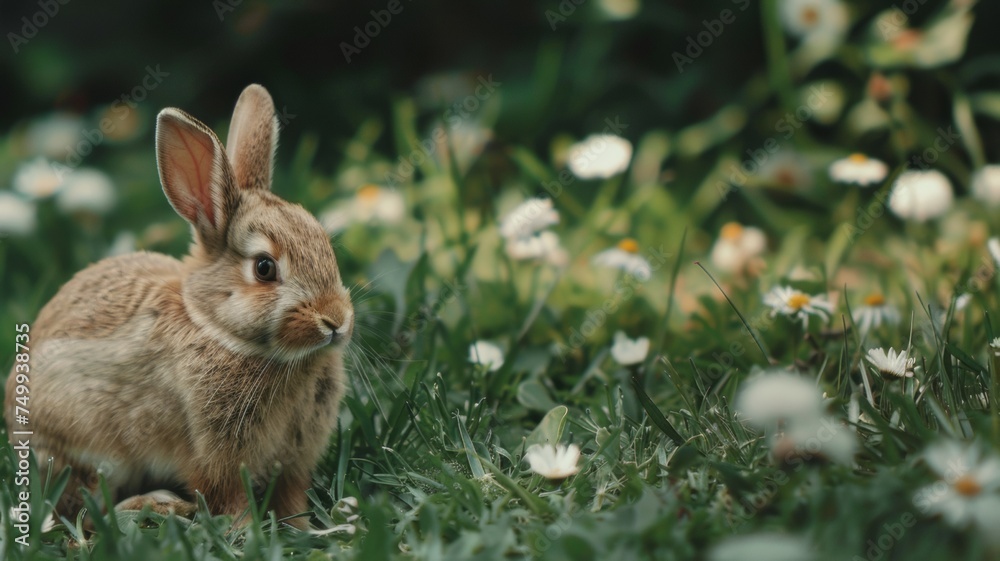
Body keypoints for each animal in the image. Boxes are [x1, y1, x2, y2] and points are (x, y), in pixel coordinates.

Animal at [4, 84, 354, 529]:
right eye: (264, 268)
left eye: (325, 246)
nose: (336, 321)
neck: (216, 329)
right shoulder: (215, 457)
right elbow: (230, 497)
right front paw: (245, 532)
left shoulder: (294, 461)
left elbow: (292, 498)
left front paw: (304, 529)